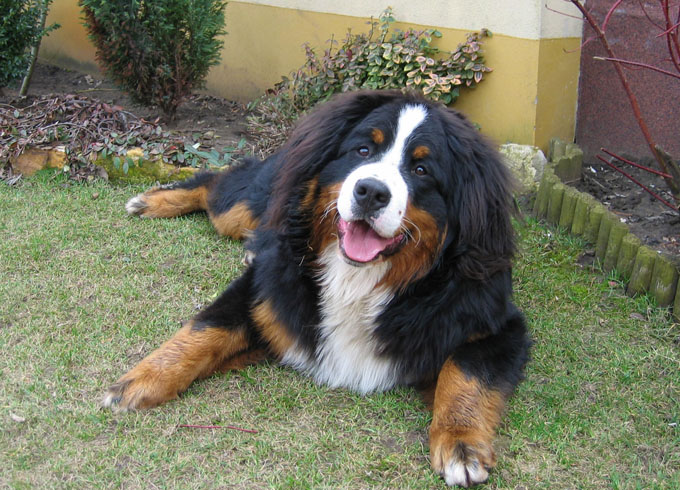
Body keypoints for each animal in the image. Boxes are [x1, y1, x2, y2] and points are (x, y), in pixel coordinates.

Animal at [102, 90, 530, 487]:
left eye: (421, 169)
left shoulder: (495, 323)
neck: (358, 280)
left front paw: (460, 442)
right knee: (218, 184)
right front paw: (140, 380)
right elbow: (206, 329)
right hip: (245, 207)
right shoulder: (266, 292)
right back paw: (152, 200)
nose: (371, 191)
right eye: (363, 149)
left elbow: (466, 372)